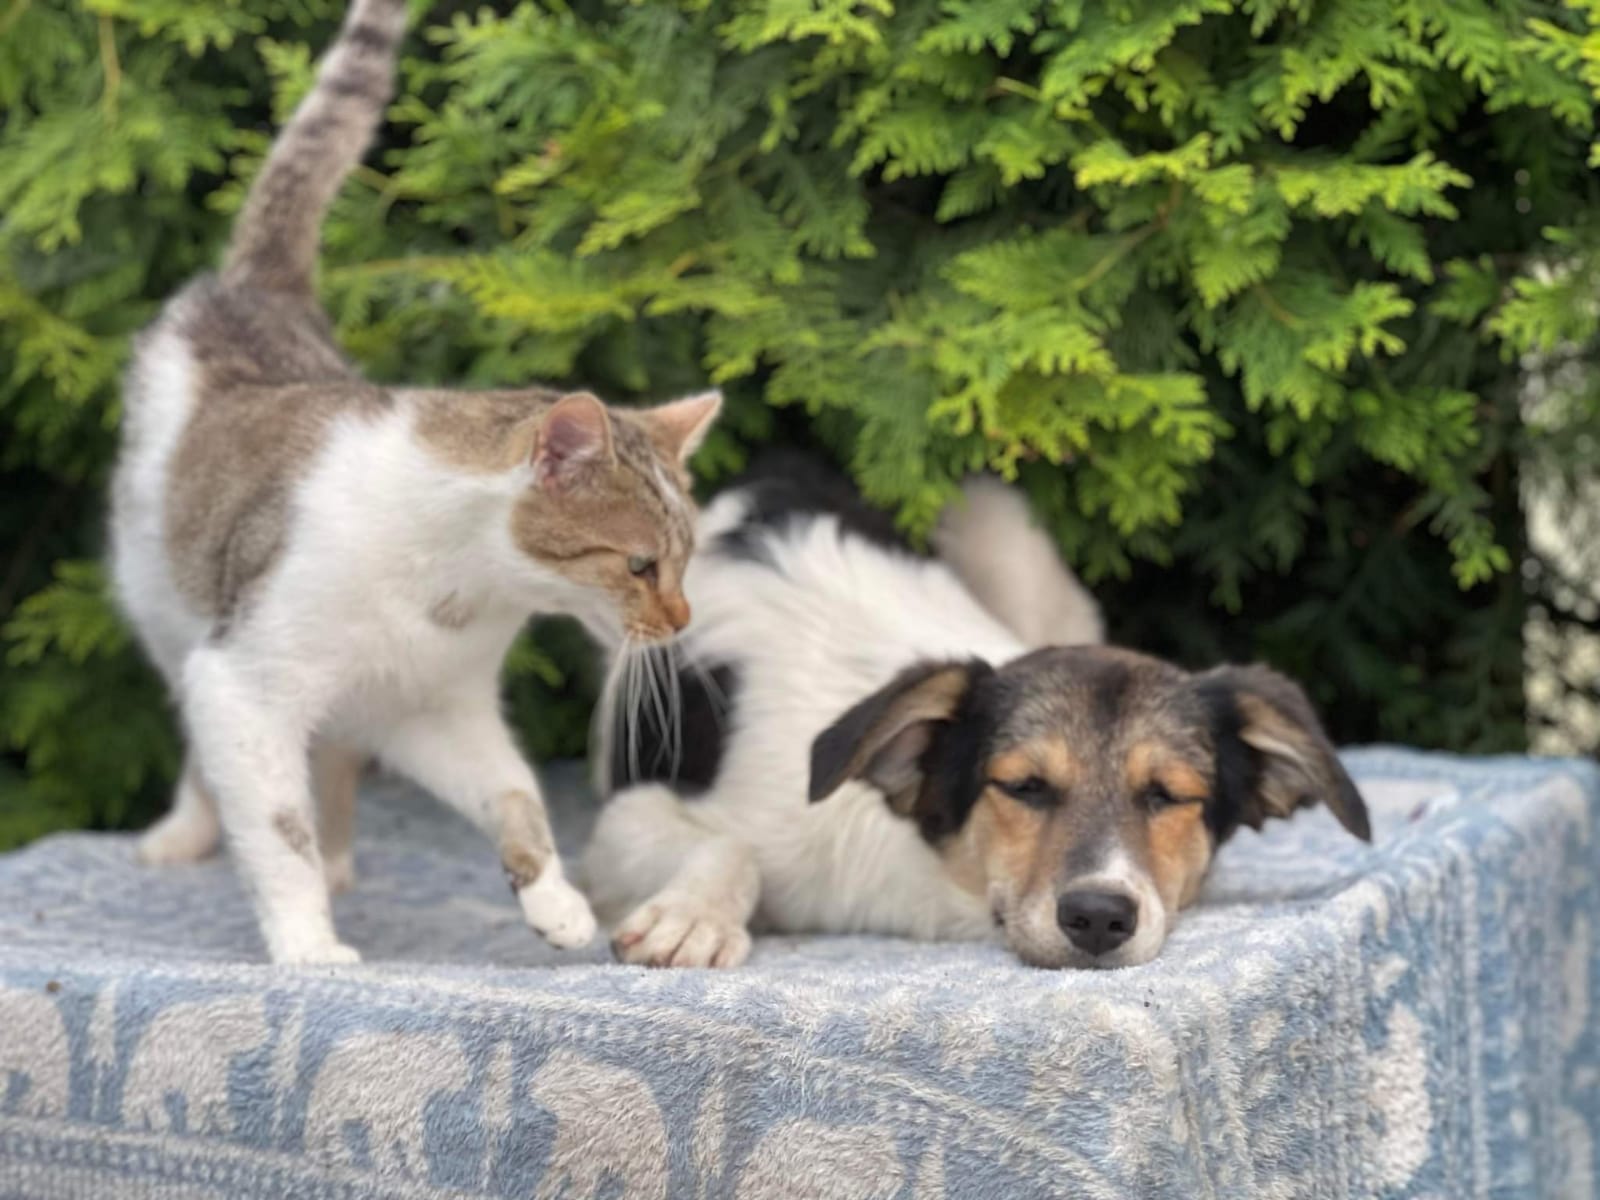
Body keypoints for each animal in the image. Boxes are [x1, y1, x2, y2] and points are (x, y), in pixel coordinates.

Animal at [109, 0, 720, 964]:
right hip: (167, 601)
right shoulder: (242, 683)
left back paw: (340, 857)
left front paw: (555, 902)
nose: (682, 619)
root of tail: (261, 290)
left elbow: (514, 793)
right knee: (212, 745)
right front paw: (308, 948)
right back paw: (188, 833)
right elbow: (276, 826)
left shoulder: (440, 707)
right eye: (638, 566)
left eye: (684, 562)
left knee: (335, 757)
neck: (457, 589)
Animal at [580, 452, 1371, 969]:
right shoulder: (625, 819)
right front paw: (692, 918)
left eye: (1169, 796)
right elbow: (729, 844)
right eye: (1022, 787)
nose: (1098, 918)